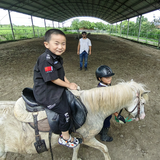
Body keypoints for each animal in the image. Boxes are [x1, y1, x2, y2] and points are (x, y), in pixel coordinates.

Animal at [0, 80, 149, 159]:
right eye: (142, 103)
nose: (142, 117)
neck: (91, 108)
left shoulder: (76, 136)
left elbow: (76, 147)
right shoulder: (88, 138)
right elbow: (105, 149)